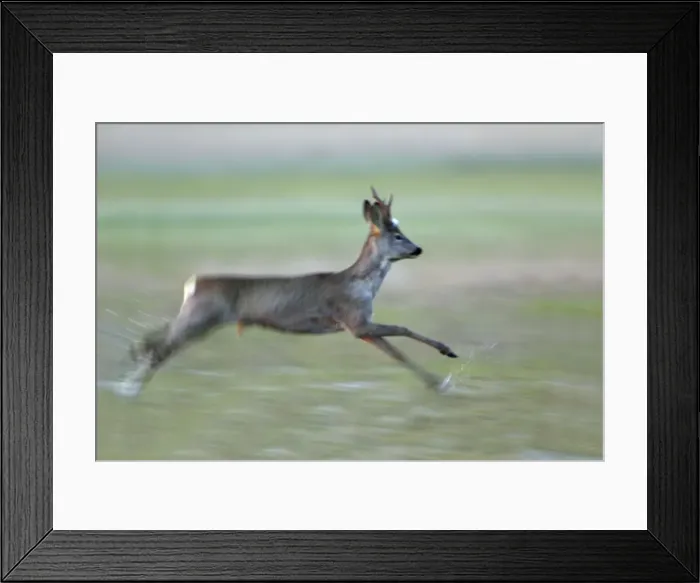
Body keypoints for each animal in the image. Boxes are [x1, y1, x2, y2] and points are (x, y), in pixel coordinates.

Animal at [116, 187, 458, 398]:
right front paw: (446, 362)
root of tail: (193, 282)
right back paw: (130, 389)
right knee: (161, 348)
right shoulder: (355, 321)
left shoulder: (360, 327)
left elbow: (398, 353)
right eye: (398, 236)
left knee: (154, 339)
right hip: (202, 318)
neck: (362, 285)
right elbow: (403, 331)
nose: (418, 249)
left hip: (196, 316)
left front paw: (439, 380)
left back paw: (130, 372)